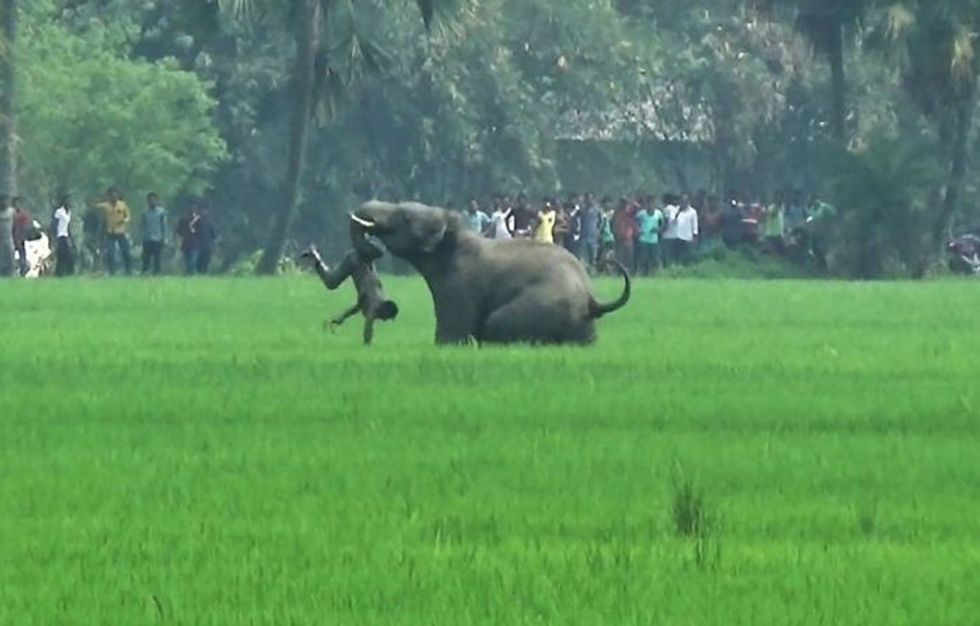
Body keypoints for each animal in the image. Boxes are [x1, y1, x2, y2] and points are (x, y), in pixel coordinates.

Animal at [349, 200, 630, 345]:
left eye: (404, 217)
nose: (372, 251)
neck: (452, 234)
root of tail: (592, 301)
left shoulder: (459, 285)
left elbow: (452, 335)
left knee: (496, 322)